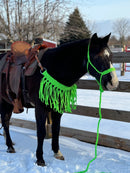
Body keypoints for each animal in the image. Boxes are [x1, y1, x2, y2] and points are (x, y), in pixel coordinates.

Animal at [0, 32, 119, 166]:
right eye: (97, 57)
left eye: (111, 55)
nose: (114, 83)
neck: (53, 68)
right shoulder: (40, 108)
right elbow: (41, 132)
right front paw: (40, 159)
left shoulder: (58, 108)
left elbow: (56, 129)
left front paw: (57, 152)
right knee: (5, 122)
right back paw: (10, 146)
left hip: (9, 103)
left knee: (5, 121)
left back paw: (10, 144)